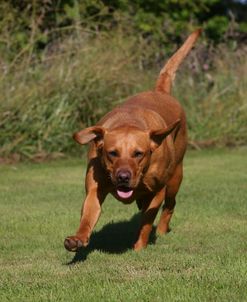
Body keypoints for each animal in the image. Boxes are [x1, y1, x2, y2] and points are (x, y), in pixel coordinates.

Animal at [64, 30, 202, 252]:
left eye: (139, 153)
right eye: (112, 153)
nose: (123, 177)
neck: (129, 121)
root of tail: (160, 91)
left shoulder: (158, 191)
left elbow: (146, 221)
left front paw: (139, 247)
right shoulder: (94, 188)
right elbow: (88, 214)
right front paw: (77, 238)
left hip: (175, 177)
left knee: (170, 205)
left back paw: (161, 230)